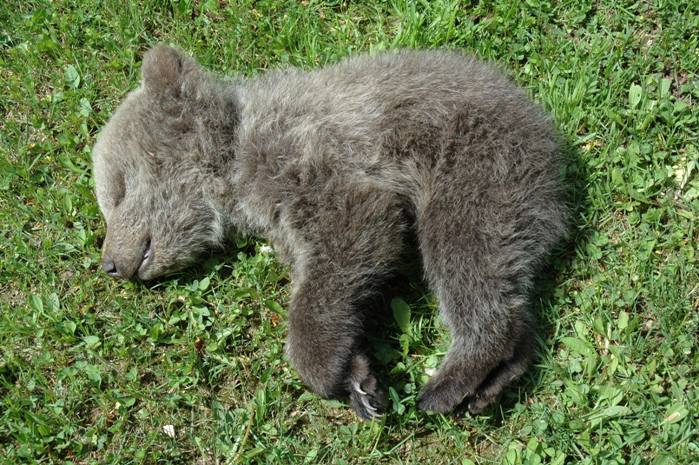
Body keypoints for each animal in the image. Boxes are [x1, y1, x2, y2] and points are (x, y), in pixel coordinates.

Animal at [92, 44, 568, 420]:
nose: (109, 263)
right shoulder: (283, 222)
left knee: (465, 256)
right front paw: (360, 379)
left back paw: (450, 382)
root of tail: (542, 125)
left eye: (116, 188)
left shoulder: (312, 162)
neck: (235, 162)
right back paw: (494, 382)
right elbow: (329, 278)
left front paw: (321, 366)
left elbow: (355, 233)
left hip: (476, 165)